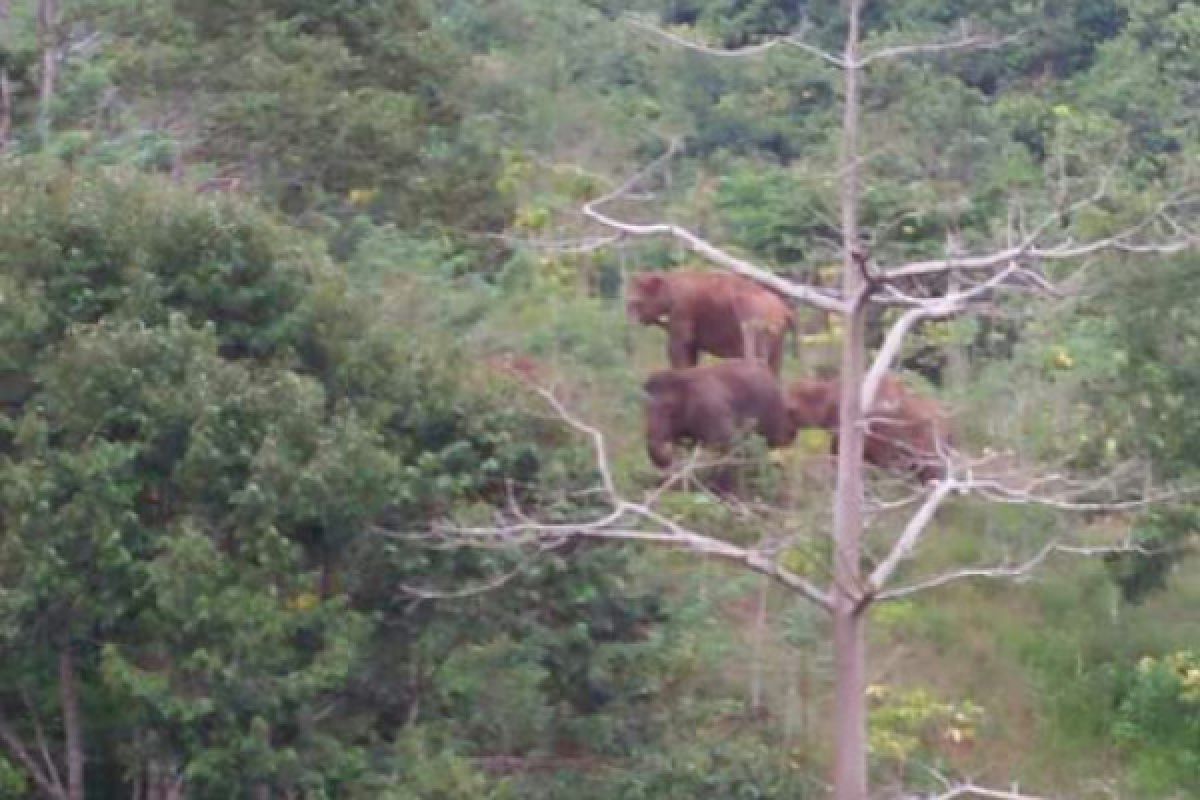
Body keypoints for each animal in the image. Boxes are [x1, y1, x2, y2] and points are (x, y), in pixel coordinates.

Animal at [624, 272, 801, 376]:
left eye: (635, 303)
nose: (632, 322)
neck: (670, 276)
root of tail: (786, 310)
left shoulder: (683, 310)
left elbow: (679, 347)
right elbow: (691, 351)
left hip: (759, 323)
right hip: (778, 335)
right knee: (775, 365)